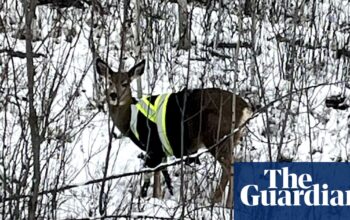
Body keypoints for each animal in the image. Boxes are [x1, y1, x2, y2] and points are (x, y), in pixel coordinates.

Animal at [94, 57, 253, 205]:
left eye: (125, 83)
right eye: (109, 82)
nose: (113, 95)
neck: (130, 117)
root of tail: (245, 108)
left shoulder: (153, 145)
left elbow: (154, 174)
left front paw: (153, 198)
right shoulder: (160, 150)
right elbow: (160, 173)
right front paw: (158, 197)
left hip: (217, 135)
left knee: (230, 167)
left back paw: (222, 203)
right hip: (229, 138)